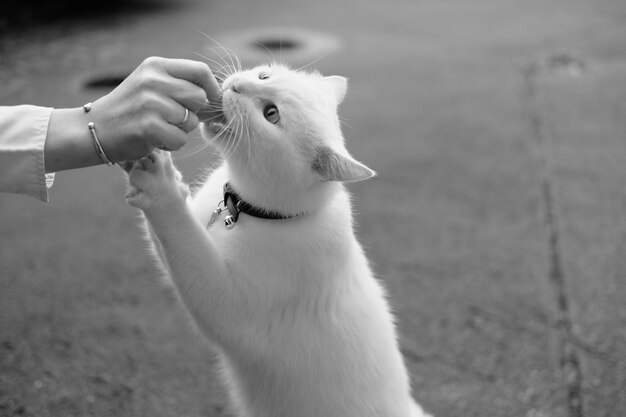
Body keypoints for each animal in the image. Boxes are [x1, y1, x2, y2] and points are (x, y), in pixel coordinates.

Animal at [125, 63, 432, 414]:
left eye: (271, 114)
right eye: (264, 76)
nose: (237, 86)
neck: (240, 210)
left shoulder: (229, 308)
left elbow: (181, 238)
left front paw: (159, 183)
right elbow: (165, 240)